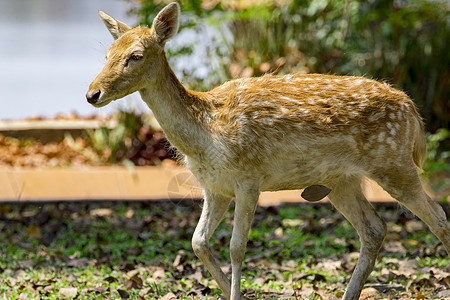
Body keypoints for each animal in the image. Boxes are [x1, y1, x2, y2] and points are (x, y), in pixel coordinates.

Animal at [86, 2, 448, 300]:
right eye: (107, 55)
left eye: (135, 55)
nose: (92, 94)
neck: (206, 133)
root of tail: (413, 112)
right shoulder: (214, 187)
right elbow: (198, 241)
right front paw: (233, 293)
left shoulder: (249, 177)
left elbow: (236, 247)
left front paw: (237, 295)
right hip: (341, 181)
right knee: (374, 229)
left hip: (393, 161)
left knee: (438, 217)